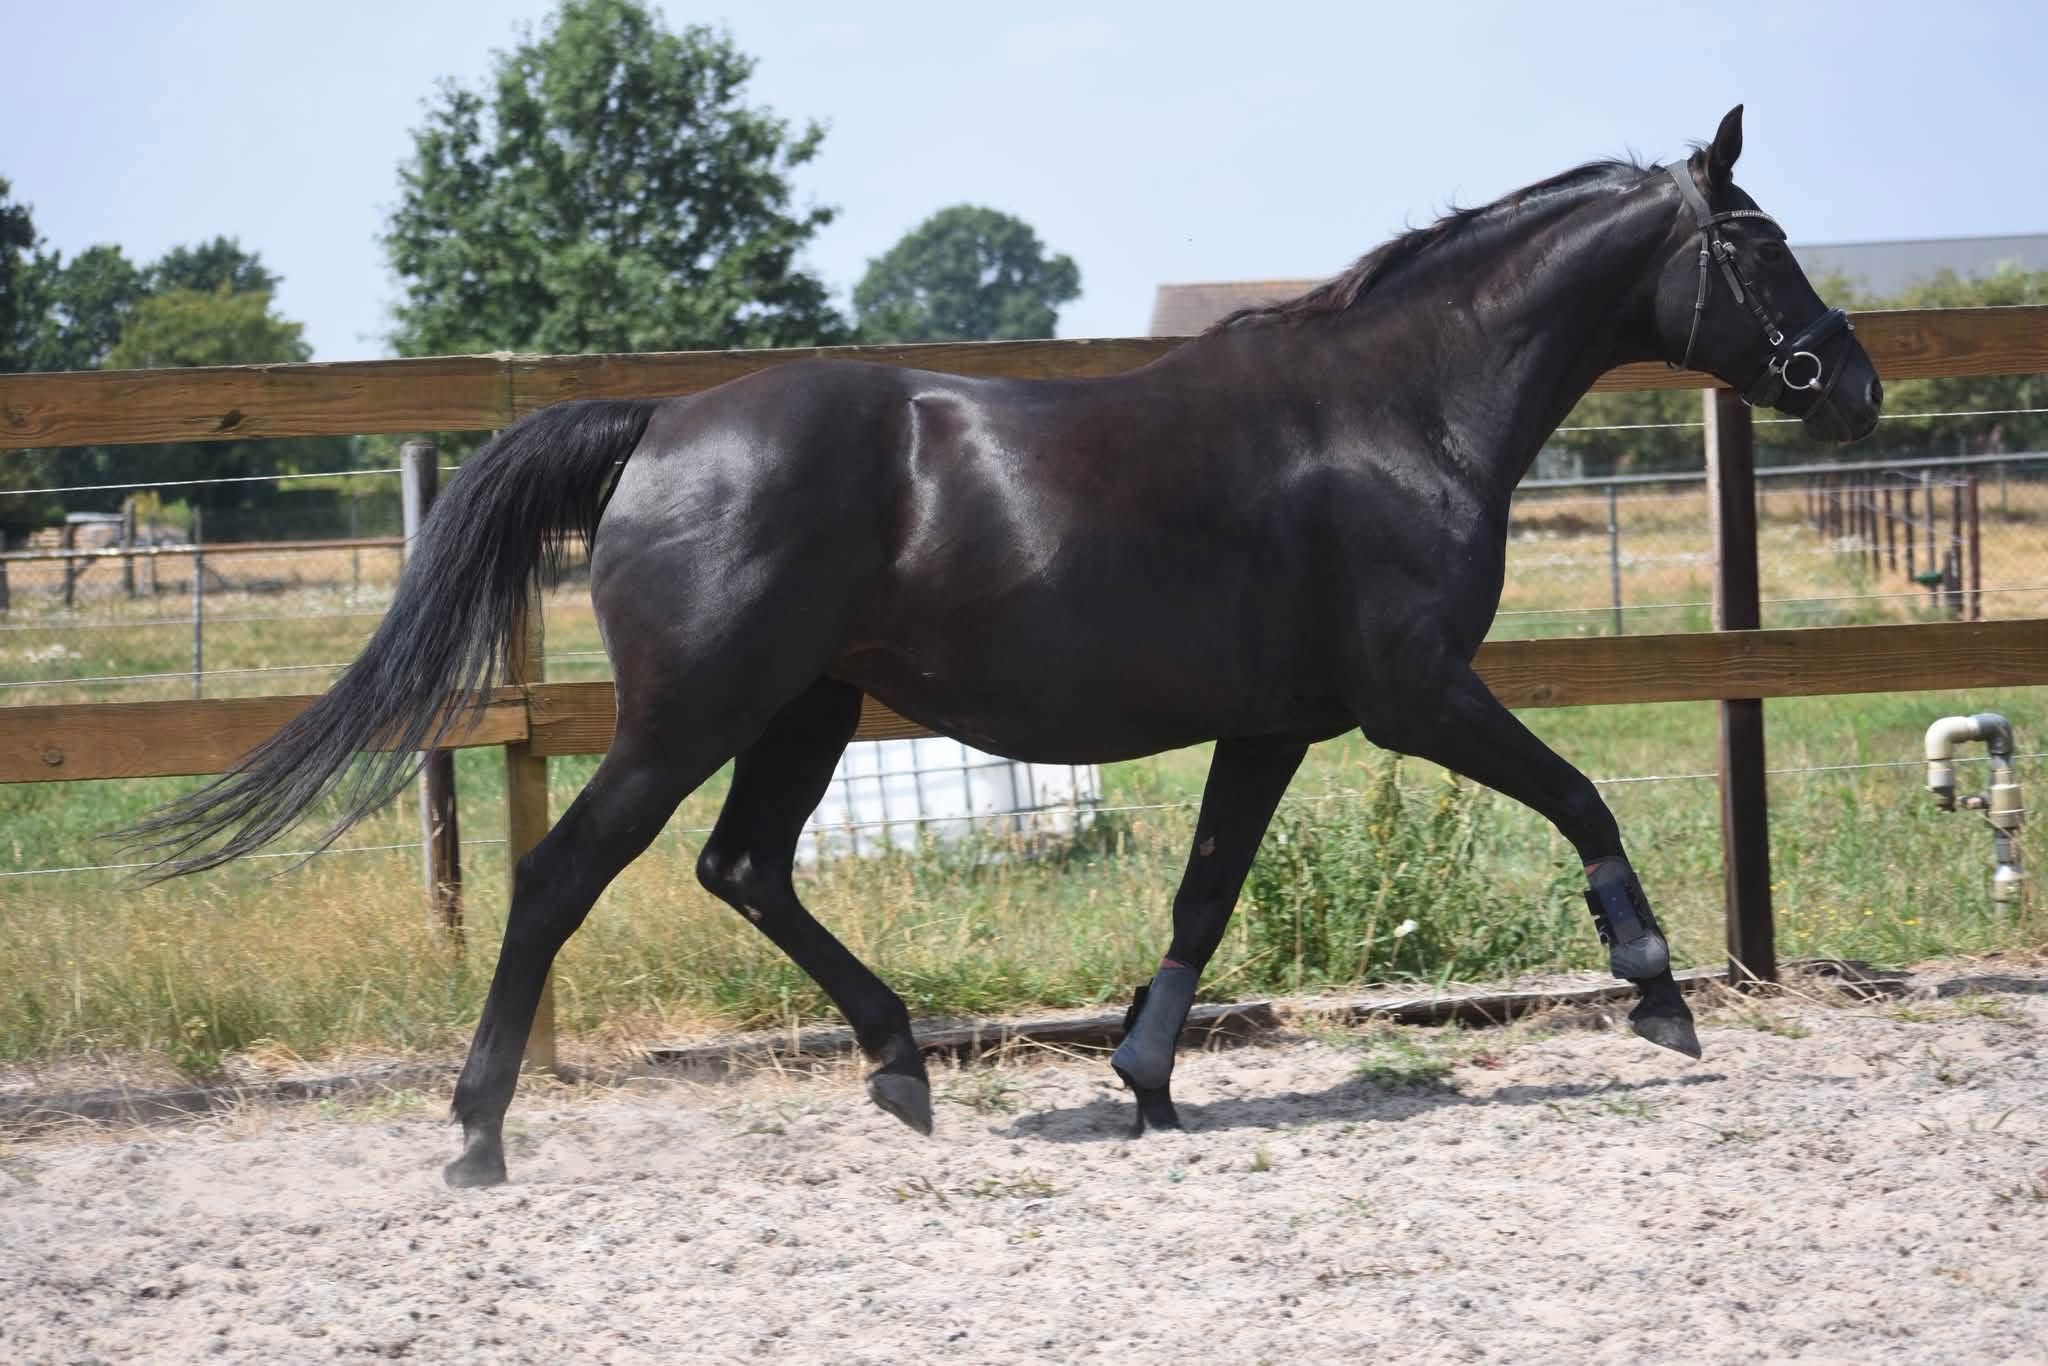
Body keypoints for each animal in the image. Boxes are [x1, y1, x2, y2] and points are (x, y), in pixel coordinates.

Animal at [125, 106, 1882, 1187]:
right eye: (1762, 239)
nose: (1853, 382)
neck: (1398, 412)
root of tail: (663, 428)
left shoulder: (1279, 722)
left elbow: (1203, 894)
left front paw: (1147, 1079)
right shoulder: (1413, 696)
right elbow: (1581, 791)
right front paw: (1657, 989)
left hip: (807, 710)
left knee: (744, 869)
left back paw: (901, 1065)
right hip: (697, 712)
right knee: (569, 876)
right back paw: (480, 1136)